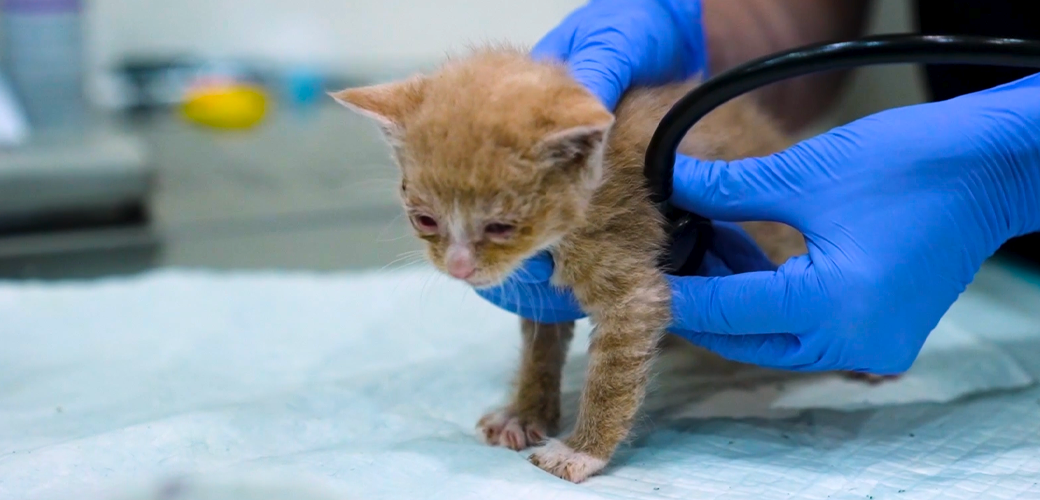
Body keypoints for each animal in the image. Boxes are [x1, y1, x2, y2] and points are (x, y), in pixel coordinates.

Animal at [332, 44, 886, 482]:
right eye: (425, 219)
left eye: (500, 227)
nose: (460, 267)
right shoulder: (541, 291)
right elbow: (539, 349)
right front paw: (525, 412)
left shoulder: (628, 271)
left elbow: (614, 373)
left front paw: (582, 450)